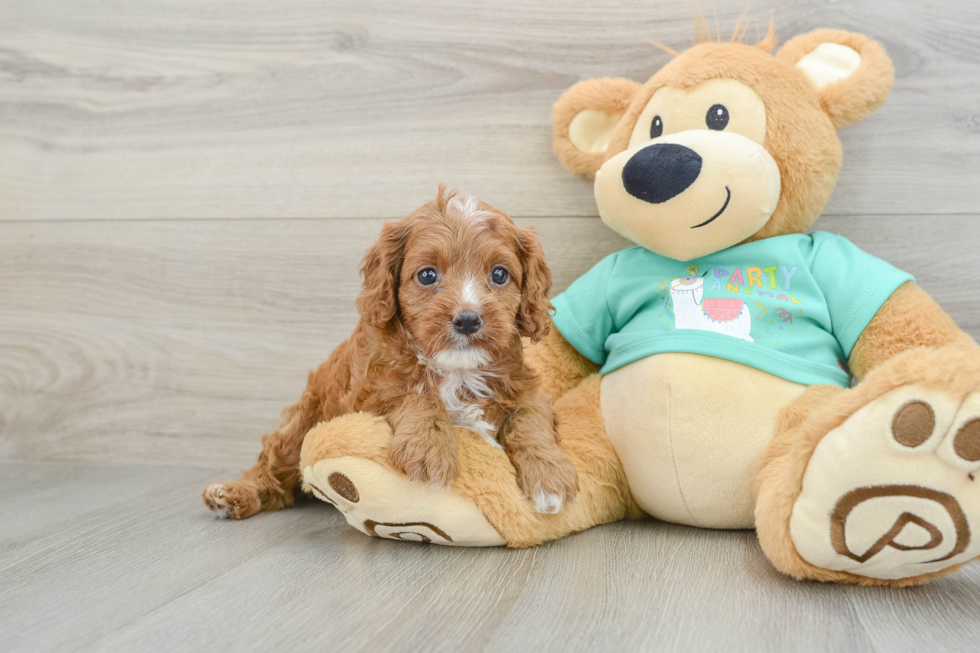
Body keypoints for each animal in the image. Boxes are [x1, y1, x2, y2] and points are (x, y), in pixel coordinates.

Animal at [203, 186, 580, 516]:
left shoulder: (526, 389)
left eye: (500, 274)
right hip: (303, 420)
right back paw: (234, 494)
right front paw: (428, 449)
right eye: (427, 275)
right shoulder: (368, 393)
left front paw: (550, 477)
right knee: (274, 470)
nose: (468, 320)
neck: (457, 369)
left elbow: (530, 419)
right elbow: (417, 396)